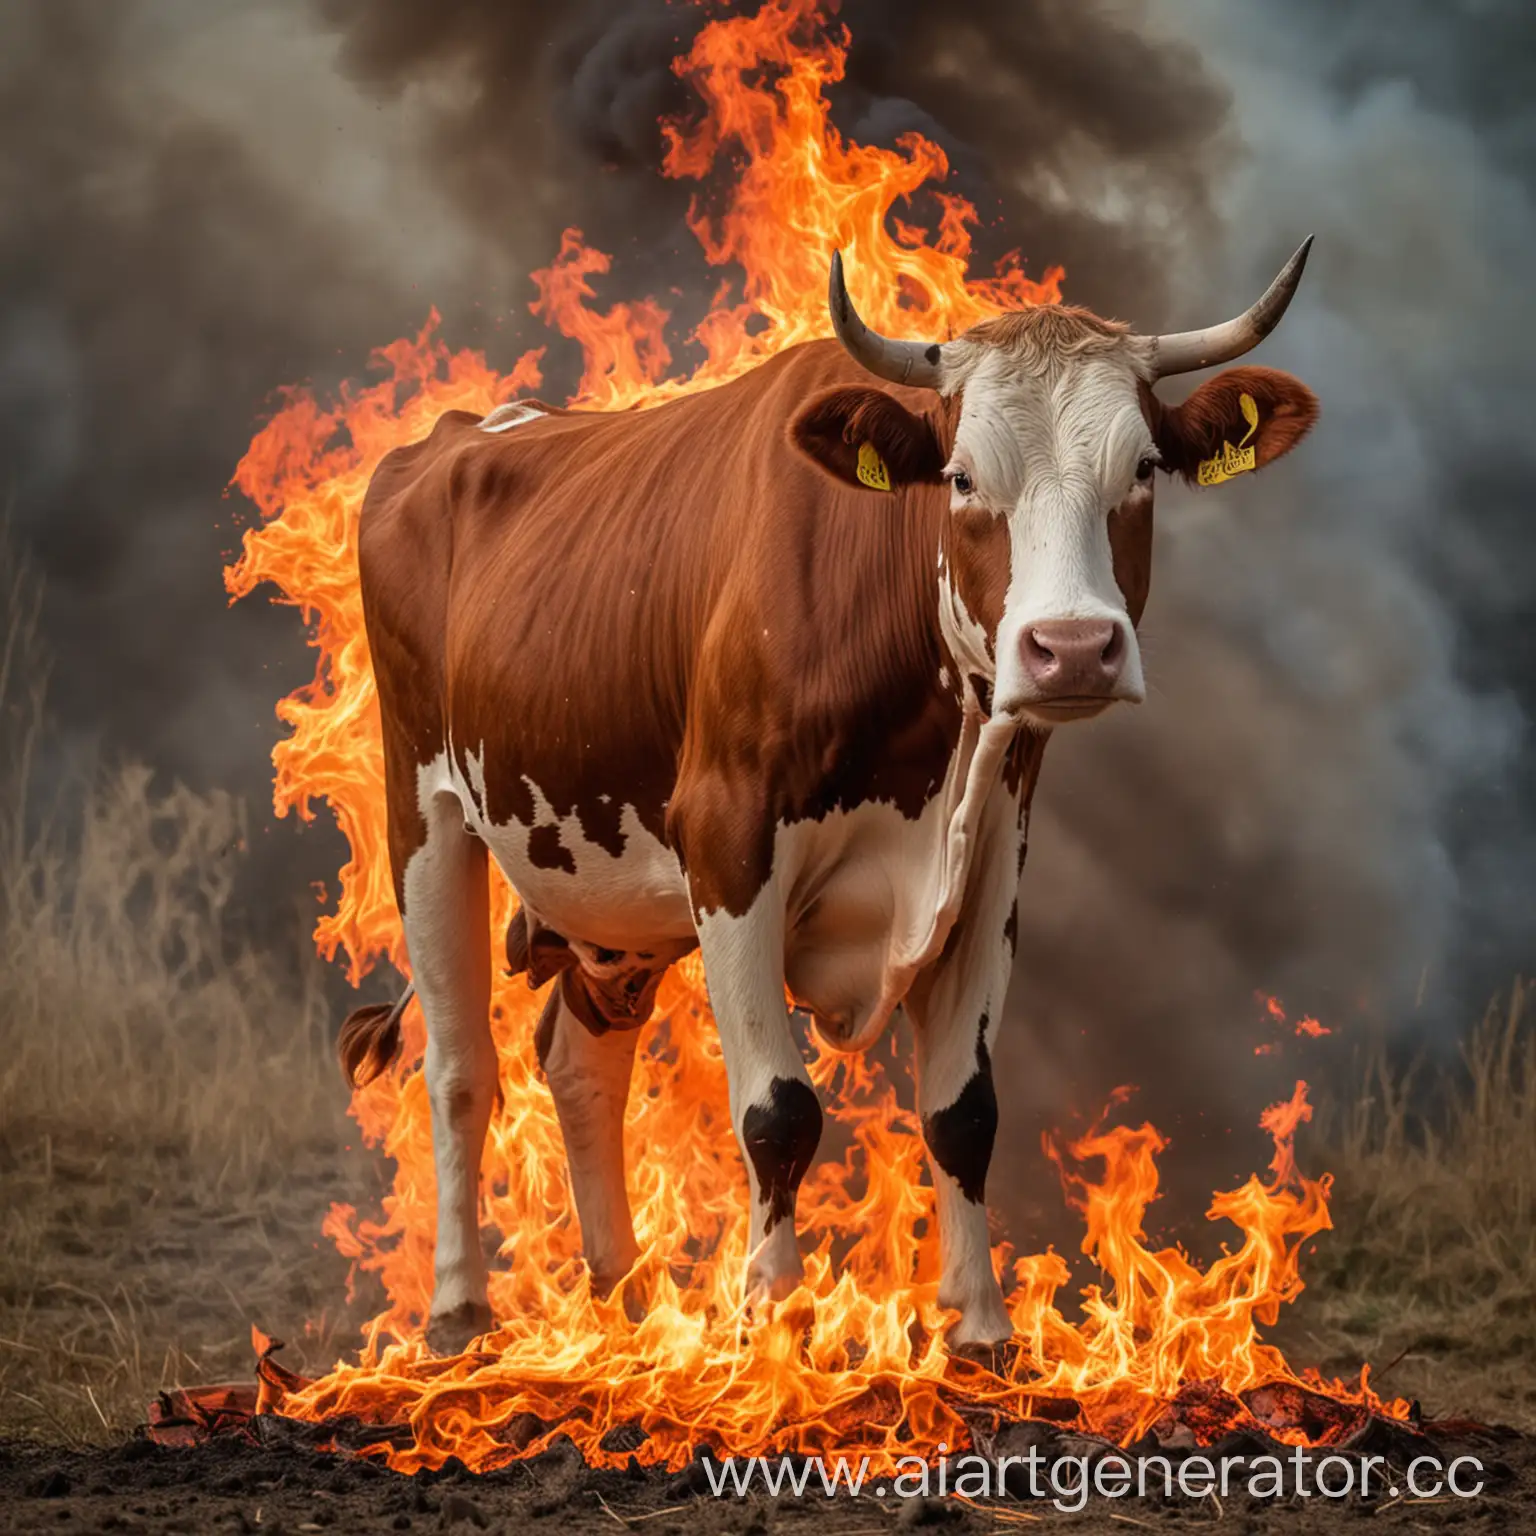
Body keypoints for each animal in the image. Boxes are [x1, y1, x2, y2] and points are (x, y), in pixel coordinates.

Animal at [336, 233, 1320, 1351]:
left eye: (1145, 467)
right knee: (459, 1069)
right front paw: (770, 1322)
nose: (1072, 648)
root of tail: (462, 433)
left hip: (606, 900)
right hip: (426, 811)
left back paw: (625, 1297)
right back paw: (460, 1307)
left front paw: (981, 1330)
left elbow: (964, 1112)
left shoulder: (990, 858)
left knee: (581, 1067)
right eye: (962, 477)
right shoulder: (726, 842)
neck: (923, 754)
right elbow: (779, 1111)